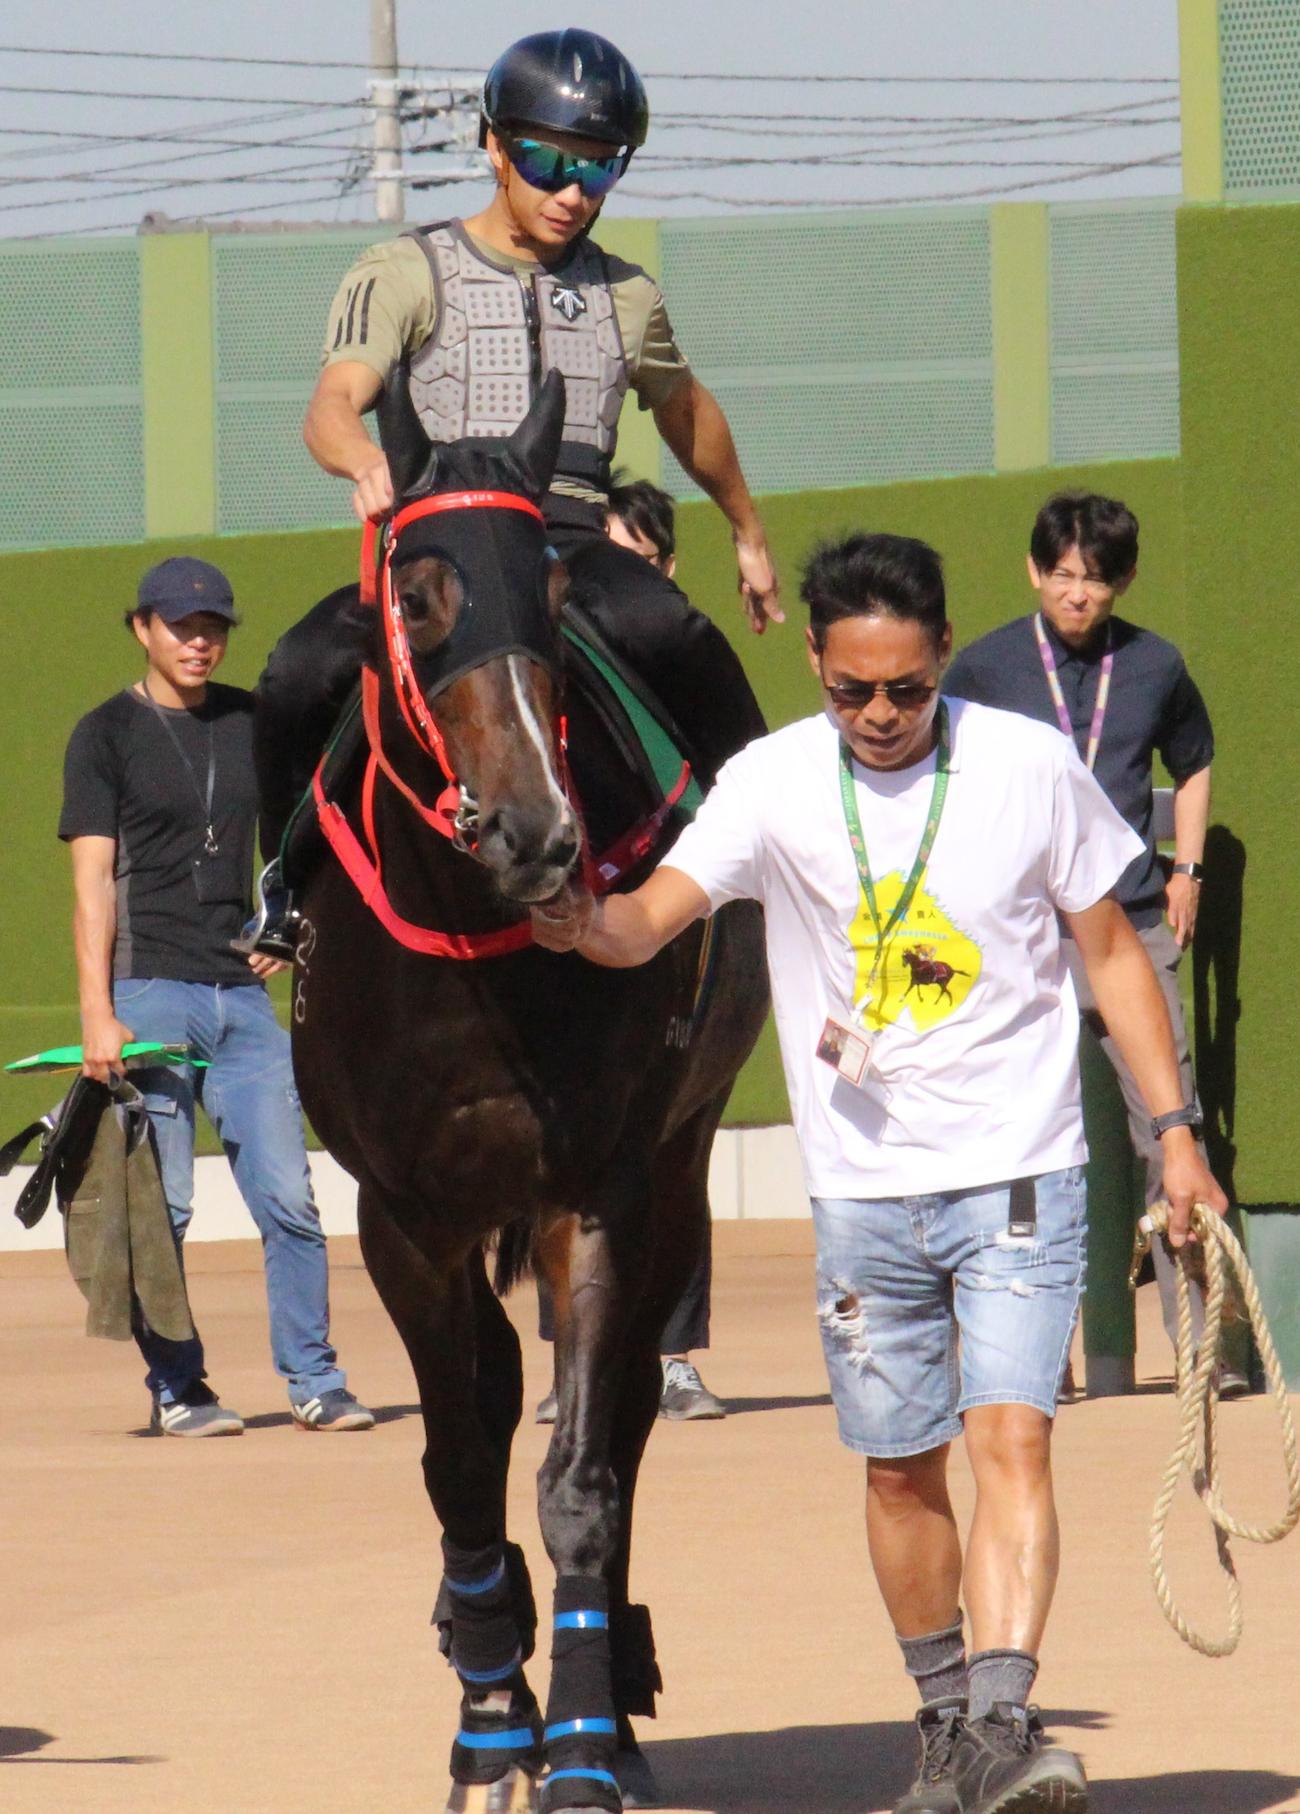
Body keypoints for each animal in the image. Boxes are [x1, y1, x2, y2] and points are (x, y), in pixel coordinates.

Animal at [289, 370, 768, 1814]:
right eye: (418, 590)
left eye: (549, 591)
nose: (538, 832)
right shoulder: (401, 1213)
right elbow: (458, 1459)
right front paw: (491, 1715)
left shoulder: (601, 1185)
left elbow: (584, 1475)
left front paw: (583, 1740)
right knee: (495, 1401)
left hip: (673, 1164)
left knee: (618, 1410)